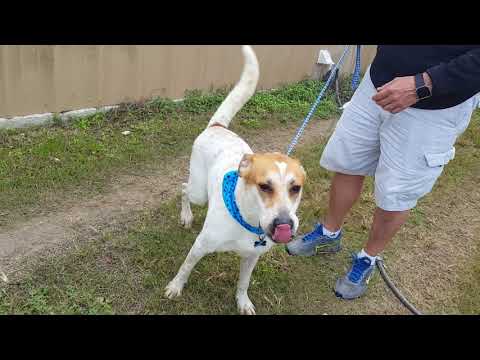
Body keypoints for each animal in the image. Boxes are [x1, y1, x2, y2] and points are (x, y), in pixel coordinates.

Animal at [165, 45, 306, 316]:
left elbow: (243, 283)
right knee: (184, 188)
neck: (248, 220)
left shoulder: (252, 257)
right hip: (199, 191)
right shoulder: (200, 245)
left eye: (295, 188)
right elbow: (185, 267)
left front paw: (243, 302)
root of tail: (218, 126)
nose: (284, 224)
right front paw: (175, 287)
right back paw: (186, 215)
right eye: (264, 186)